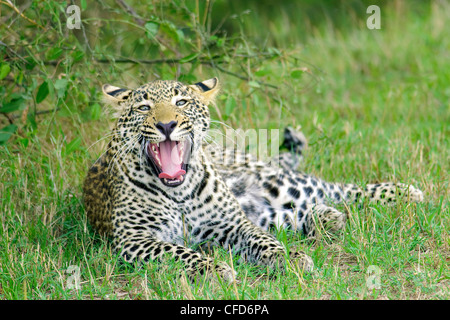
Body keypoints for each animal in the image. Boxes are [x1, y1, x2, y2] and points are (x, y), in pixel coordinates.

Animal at [82, 76, 424, 282]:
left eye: (181, 102)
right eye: (144, 107)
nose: (166, 125)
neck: (178, 192)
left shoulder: (232, 223)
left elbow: (262, 240)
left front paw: (287, 258)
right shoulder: (134, 239)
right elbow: (177, 251)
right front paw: (212, 269)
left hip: (279, 182)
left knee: (338, 189)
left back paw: (403, 193)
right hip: (270, 204)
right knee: (296, 213)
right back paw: (326, 219)